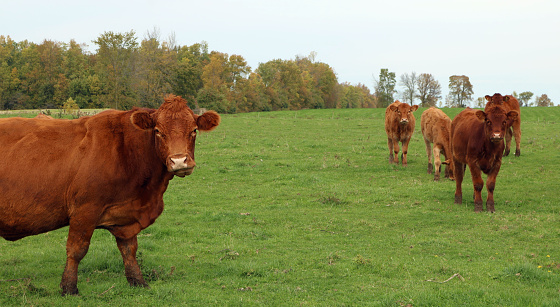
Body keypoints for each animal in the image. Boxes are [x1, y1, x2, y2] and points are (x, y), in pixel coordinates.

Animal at [0, 94, 221, 296]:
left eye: (194, 130)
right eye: (158, 131)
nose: (180, 161)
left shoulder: (127, 217)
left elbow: (129, 249)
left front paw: (138, 282)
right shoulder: (84, 209)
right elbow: (76, 249)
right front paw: (69, 288)